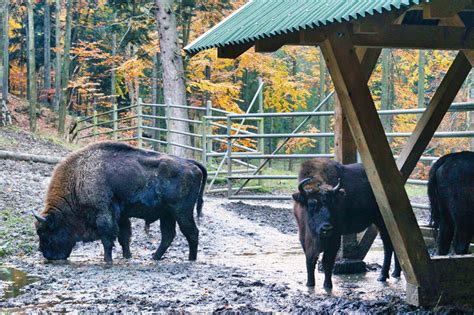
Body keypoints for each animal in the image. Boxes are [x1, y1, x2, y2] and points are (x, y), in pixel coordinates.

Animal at [31, 142, 206, 262]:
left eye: (44, 232)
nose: (46, 255)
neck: (78, 181)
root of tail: (190, 163)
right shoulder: (121, 216)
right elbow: (124, 236)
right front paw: (127, 256)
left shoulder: (104, 214)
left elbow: (108, 238)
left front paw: (107, 260)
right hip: (167, 214)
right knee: (168, 235)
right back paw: (154, 257)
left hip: (181, 212)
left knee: (192, 233)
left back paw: (191, 259)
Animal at [292, 159, 400, 290]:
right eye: (312, 203)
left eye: (333, 204)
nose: (326, 228)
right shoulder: (303, 237)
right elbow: (310, 260)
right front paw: (310, 283)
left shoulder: (335, 237)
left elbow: (327, 261)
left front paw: (327, 285)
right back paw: (395, 273)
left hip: (383, 222)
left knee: (388, 245)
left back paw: (382, 276)